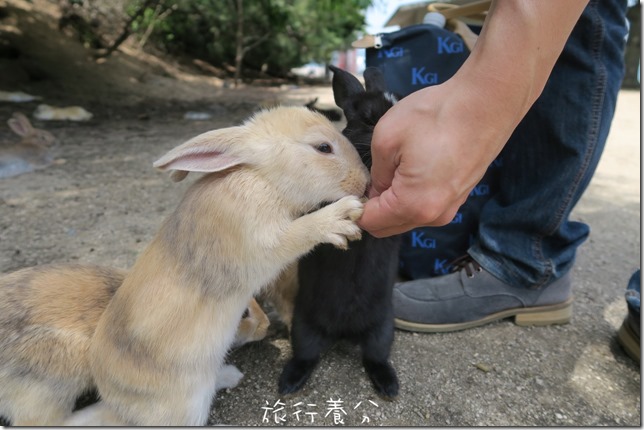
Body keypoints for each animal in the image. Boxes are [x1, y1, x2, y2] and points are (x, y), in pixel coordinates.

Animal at [0, 106, 368, 424]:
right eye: (323, 147)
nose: (364, 183)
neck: (262, 178)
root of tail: (116, 397)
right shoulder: (264, 240)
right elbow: (299, 234)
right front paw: (341, 218)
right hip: (185, 404)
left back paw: (230, 374)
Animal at [276, 66, 402, 400]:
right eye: (369, 118)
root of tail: (344, 332)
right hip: (303, 328)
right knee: (306, 356)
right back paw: (288, 383)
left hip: (383, 330)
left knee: (375, 358)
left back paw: (389, 386)